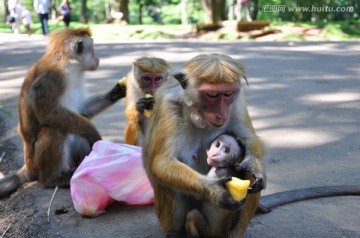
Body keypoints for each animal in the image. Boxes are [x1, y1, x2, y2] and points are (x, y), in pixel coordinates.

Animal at [0, 27, 126, 199]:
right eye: (92, 50)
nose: (98, 59)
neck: (68, 61)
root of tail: (28, 165)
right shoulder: (53, 76)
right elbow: (46, 112)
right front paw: (92, 132)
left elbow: (82, 110)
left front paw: (117, 92)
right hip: (38, 163)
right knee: (53, 129)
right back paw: (52, 179)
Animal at [142, 53, 266, 237]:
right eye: (212, 95)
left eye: (228, 94)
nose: (221, 114)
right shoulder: (168, 107)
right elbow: (161, 162)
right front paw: (215, 190)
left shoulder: (236, 103)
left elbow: (250, 141)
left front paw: (254, 165)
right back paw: (174, 233)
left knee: (249, 178)